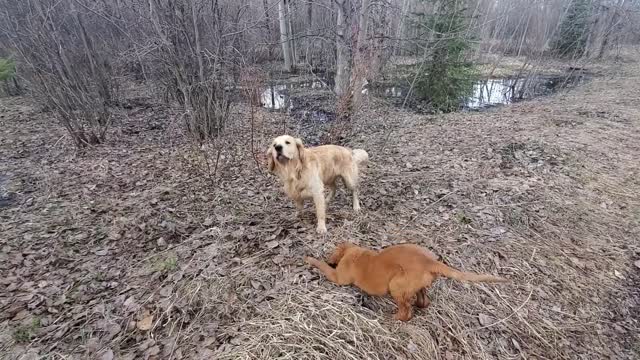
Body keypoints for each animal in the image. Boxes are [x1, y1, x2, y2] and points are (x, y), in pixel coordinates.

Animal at [304, 242, 510, 320]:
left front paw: (311, 259)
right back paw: (418, 305)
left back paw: (392, 317)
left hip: (395, 285)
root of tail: (430, 261)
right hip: (417, 285)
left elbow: (322, 266)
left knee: (406, 312)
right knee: (423, 300)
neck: (354, 252)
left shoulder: (338, 277)